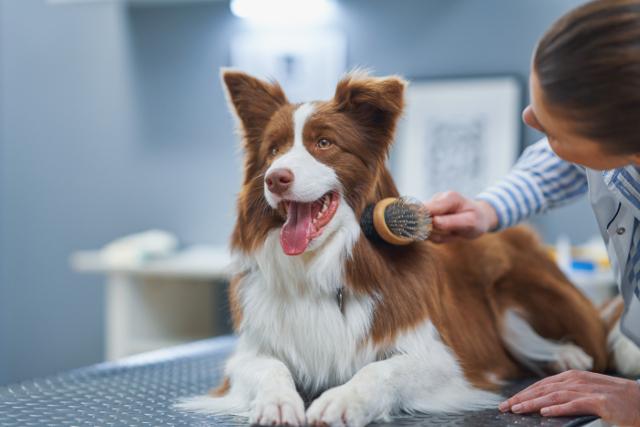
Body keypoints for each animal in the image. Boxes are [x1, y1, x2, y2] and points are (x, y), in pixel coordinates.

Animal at [178, 71, 640, 427]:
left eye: (324, 144)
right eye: (273, 150)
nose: (276, 178)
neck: (320, 263)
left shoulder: (441, 359)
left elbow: (381, 371)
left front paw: (342, 399)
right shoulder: (250, 354)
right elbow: (269, 368)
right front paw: (277, 402)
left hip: (511, 285)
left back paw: (566, 354)